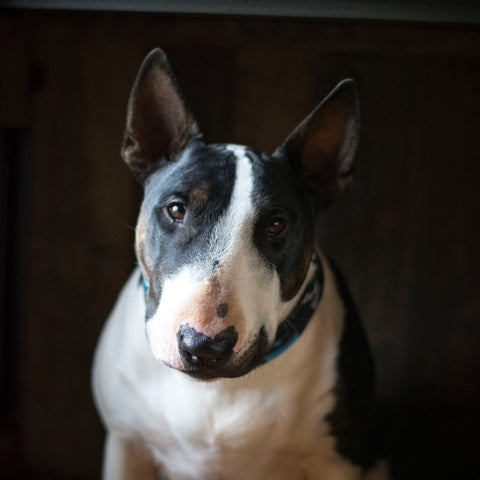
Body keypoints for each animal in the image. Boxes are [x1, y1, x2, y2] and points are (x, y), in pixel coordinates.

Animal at [92, 46, 388, 480]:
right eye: (176, 209)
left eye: (276, 224)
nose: (203, 346)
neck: (216, 390)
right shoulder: (125, 443)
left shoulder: (340, 461)